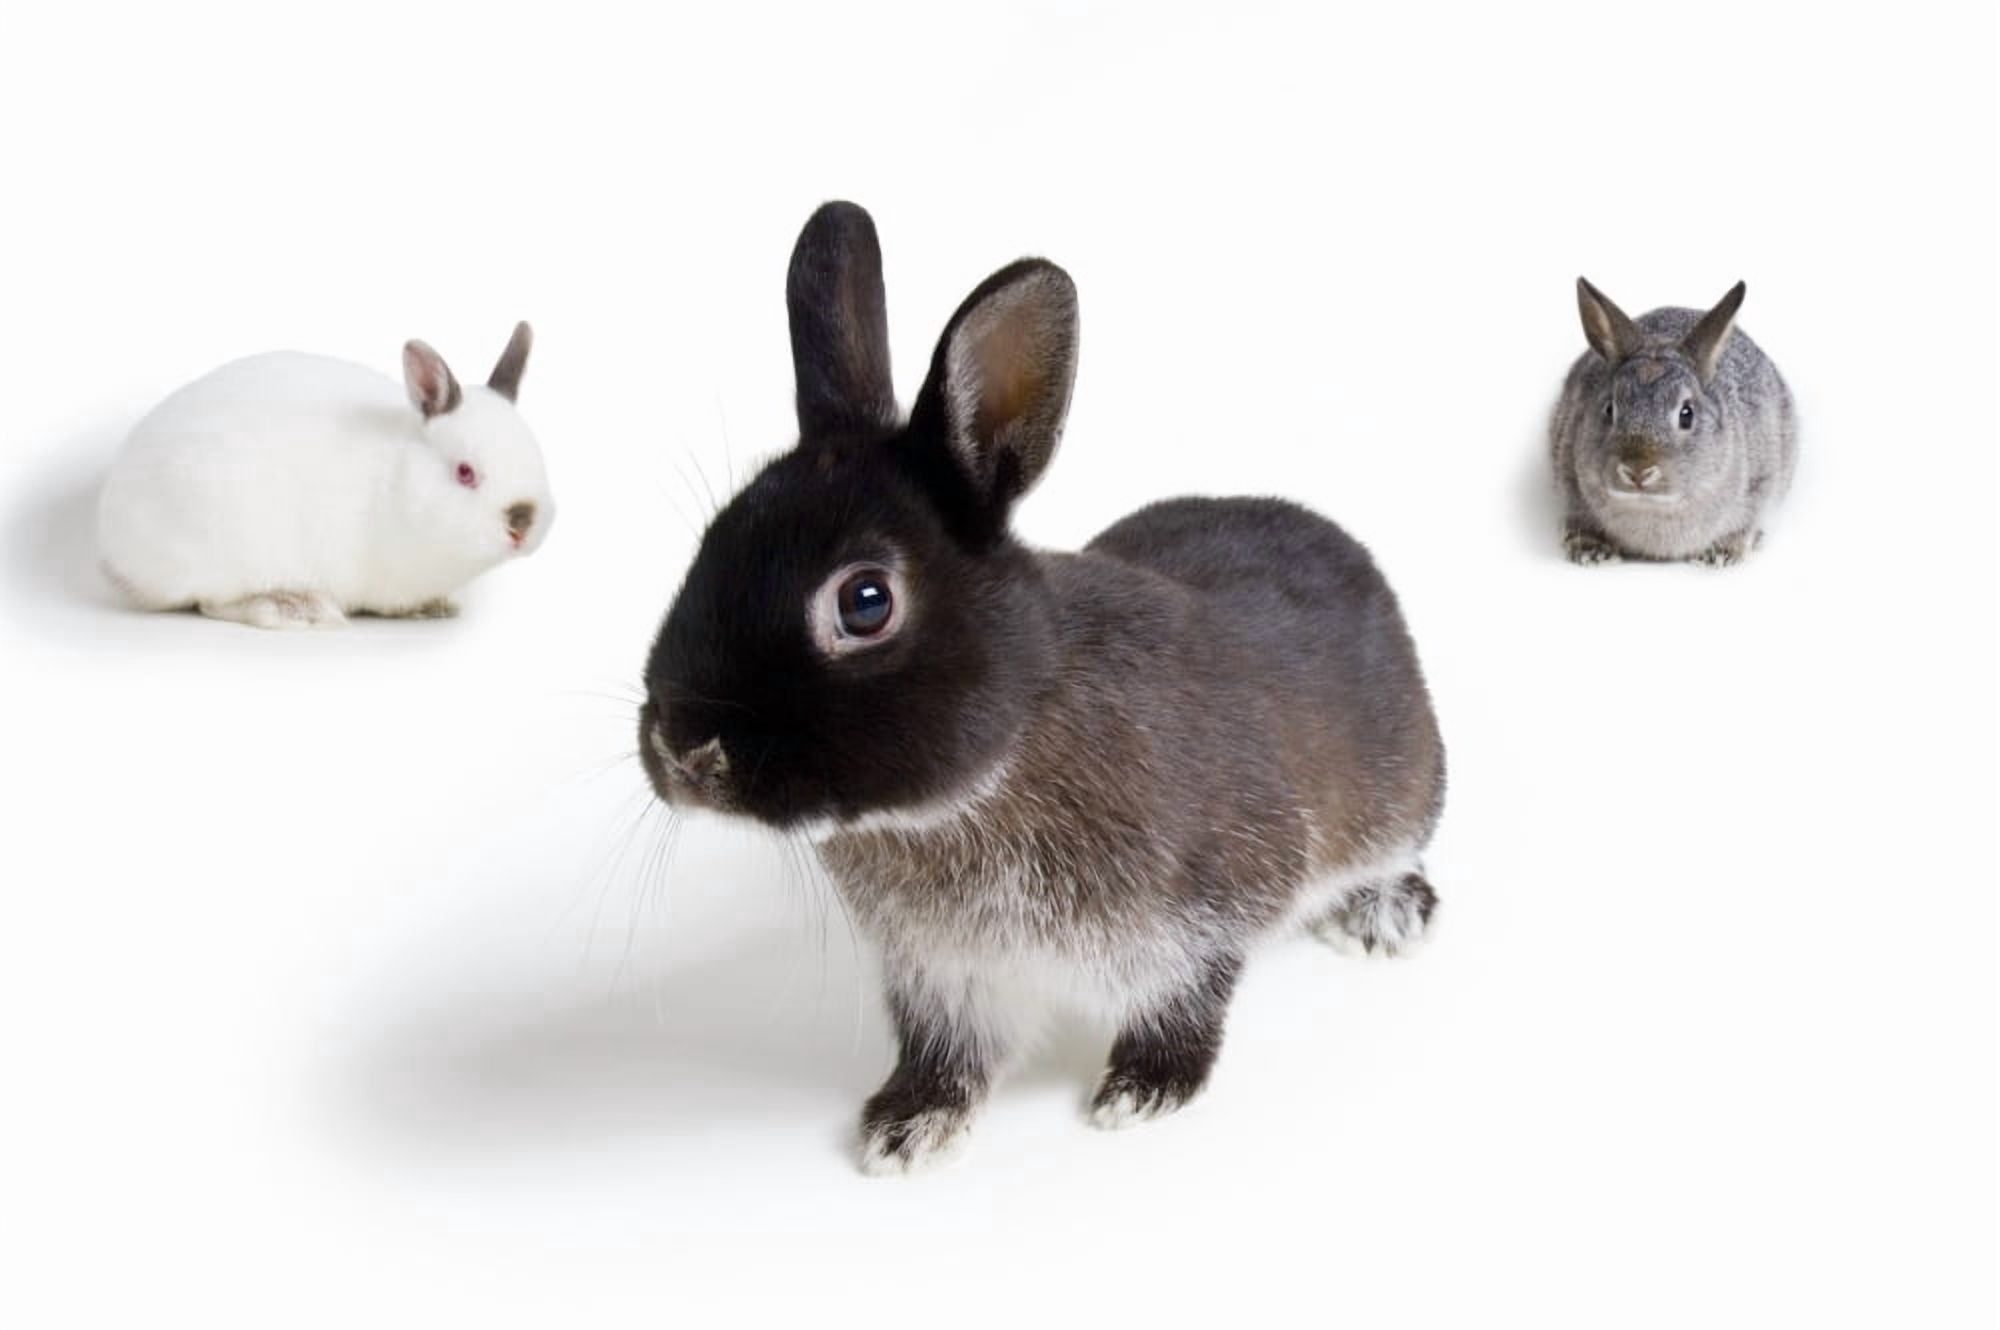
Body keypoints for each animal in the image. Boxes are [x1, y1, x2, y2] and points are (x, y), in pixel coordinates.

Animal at [97, 324, 553, 627]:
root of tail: (115, 547)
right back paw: (295, 607)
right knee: (212, 602)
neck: (399, 483)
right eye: (465, 472)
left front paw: (435, 606)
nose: (522, 522)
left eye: (539, 459)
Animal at [637, 202, 1447, 1175]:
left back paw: (1387, 915)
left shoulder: (1194, 926)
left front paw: (1141, 1092)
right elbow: (949, 1056)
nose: (685, 752)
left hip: (1402, 800)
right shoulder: (946, 977)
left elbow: (1187, 1007)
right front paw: (907, 1127)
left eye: (865, 601)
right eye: (710, 543)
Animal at [1550, 279, 1796, 567]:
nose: (1637, 471)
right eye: (1609, 409)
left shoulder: (1760, 484)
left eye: (1686, 414)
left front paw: (1720, 555)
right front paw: (1592, 551)